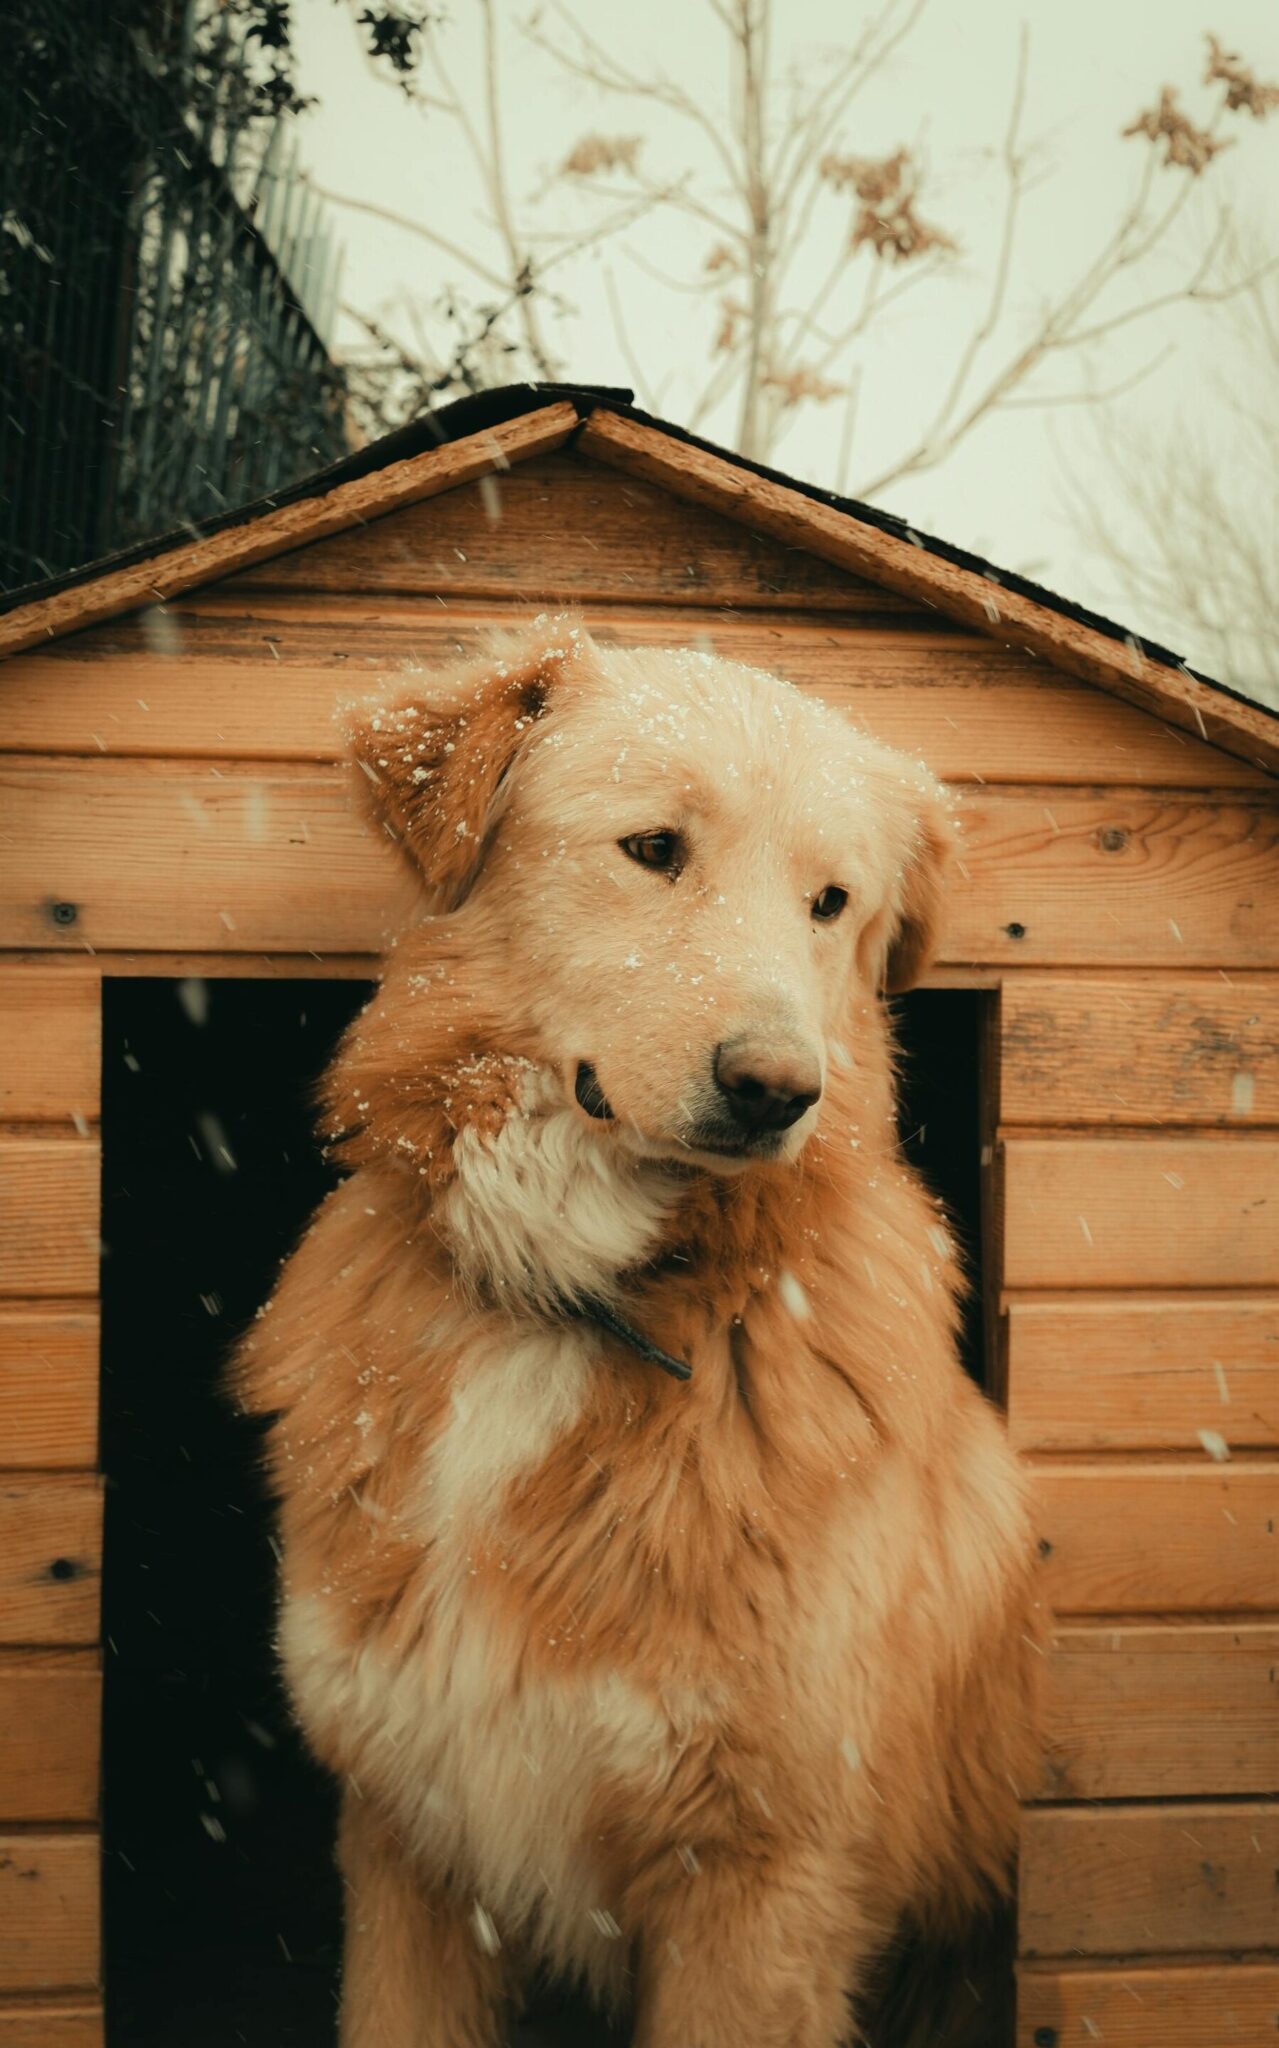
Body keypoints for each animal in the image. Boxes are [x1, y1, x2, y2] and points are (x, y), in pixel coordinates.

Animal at [234, 618, 1043, 2048]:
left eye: (830, 902)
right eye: (655, 847)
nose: (778, 1089)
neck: (573, 1301)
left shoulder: (763, 1879)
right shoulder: (407, 1842)